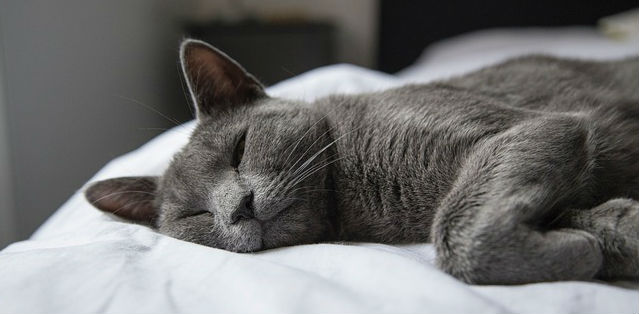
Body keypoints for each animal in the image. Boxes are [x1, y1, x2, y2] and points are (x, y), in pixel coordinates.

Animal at [86, 39, 639, 284]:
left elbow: (457, 229)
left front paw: (584, 251)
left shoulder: (532, 128)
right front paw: (593, 244)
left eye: (239, 149)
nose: (237, 207)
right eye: (195, 215)